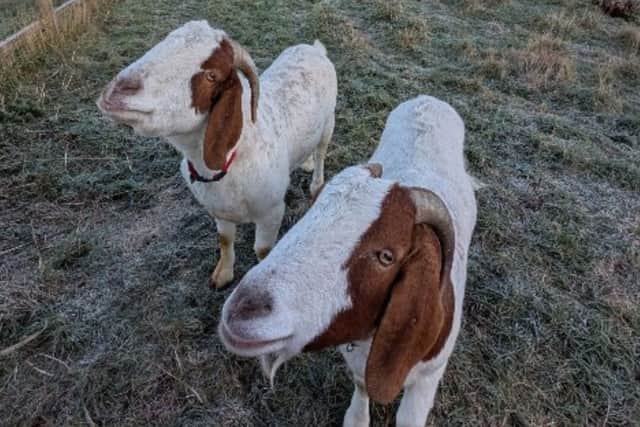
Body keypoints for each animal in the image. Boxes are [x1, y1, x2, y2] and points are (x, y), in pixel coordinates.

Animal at [97, 21, 337, 288]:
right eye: (164, 42)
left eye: (211, 76)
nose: (120, 89)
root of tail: (314, 49)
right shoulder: (218, 210)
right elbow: (224, 238)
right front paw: (223, 275)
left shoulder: (272, 212)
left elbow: (263, 251)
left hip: (329, 122)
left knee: (321, 151)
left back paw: (316, 184)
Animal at [218, 95, 477, 427]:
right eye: (312, 210)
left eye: (386, 256)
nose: (243, 312)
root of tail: (427, 99)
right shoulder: (357, 361)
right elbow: (362, 385)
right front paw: (357, 418)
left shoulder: (429, 377)